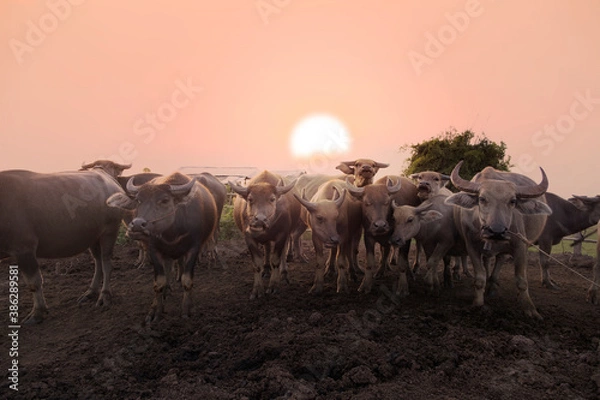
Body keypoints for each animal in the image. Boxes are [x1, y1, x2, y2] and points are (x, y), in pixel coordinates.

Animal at [1, 161, 129, 324]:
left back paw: (104, 296)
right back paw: (90, 292)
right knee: (98, 262)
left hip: (110, 231)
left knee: (107, 264)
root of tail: (109, 180)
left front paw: (37, 313)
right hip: (94, 237)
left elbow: (34, 282)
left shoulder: (24, 249)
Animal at [107, 172, 218, 322]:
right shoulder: (154, 250)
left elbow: (187, 280)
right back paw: (167, 291)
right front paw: (155, 311)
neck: (173, 232)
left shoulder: (194, 249)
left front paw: (186, 309)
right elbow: (159, 282)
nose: (137, 225)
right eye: (139, 200)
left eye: (165, 200)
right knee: (168, 269)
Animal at [229, 170, 298, 298]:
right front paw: (257, 289)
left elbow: (275, 260)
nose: (260, 220)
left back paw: (284, 273)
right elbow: (256, 264)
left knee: (283, 253)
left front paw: (273, 285)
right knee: (267, 248)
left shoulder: (282, 235)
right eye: (250, 199)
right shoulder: (248, 237)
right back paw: (266, 270)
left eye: (272, 199)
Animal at [442, 161, 552, 320]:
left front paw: (530, 309)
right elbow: (479, 278)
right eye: (482, 199)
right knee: (488, 262)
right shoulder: (472, 247)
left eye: (512, 201)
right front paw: (478, 304)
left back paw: (493, 286)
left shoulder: (520, 246)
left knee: (500, 260)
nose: (496, 231)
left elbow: (521, 280)